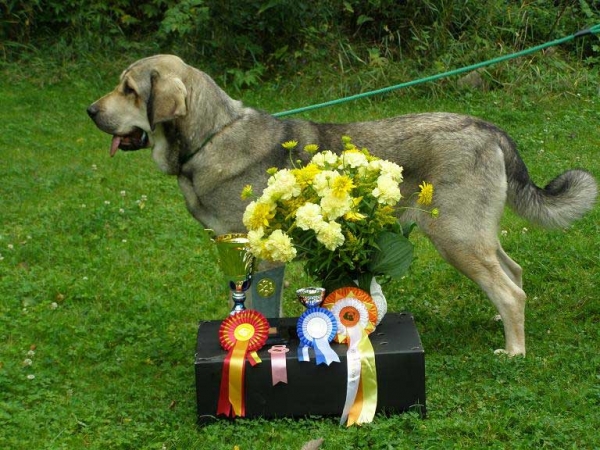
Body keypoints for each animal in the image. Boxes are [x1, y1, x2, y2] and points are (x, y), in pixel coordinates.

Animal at [86, 54, 596, 356]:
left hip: (456, 238)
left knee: (511, 290)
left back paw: (514, 351)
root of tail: (489, 129)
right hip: (474, 236)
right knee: (515, 274)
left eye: (129, 90)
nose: (90, 111)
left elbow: (259, 305)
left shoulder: (262, 256)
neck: (212, 135)